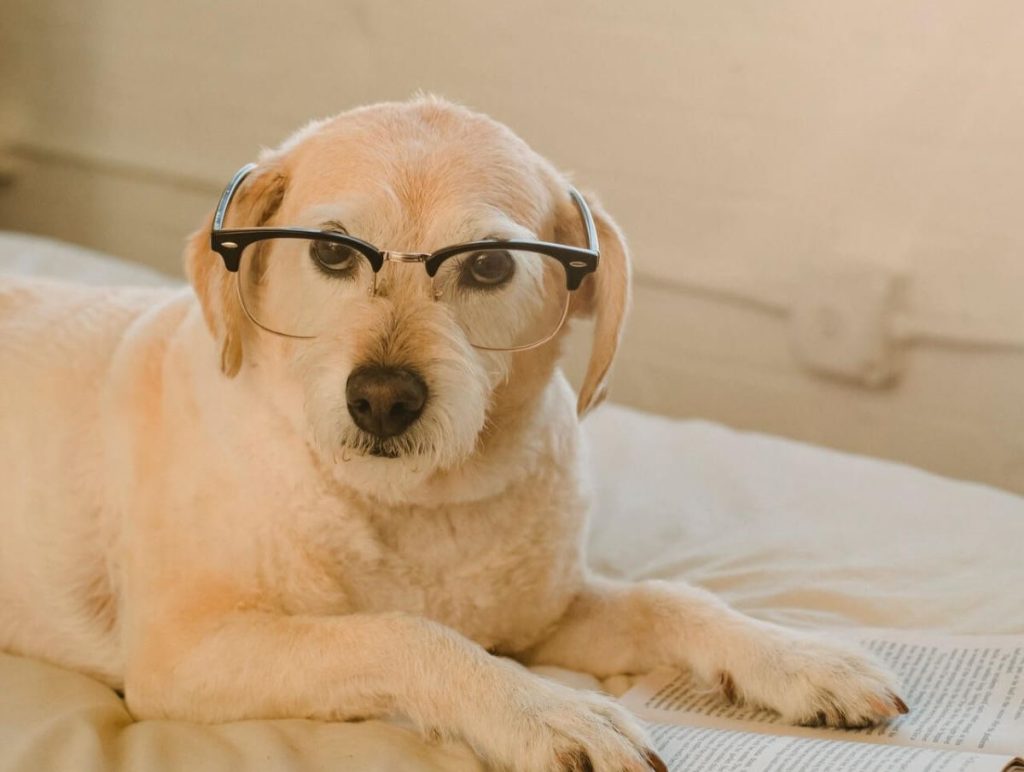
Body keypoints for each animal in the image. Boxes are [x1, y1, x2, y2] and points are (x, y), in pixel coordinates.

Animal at [0, 99, 905, 765]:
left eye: (491, 265)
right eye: (331, 252)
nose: (382, 399)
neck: (419, 506)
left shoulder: (546, 618)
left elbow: (669, 598)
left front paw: (799, 659)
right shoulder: (186, 652)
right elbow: (402, 632)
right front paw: (547, 711)